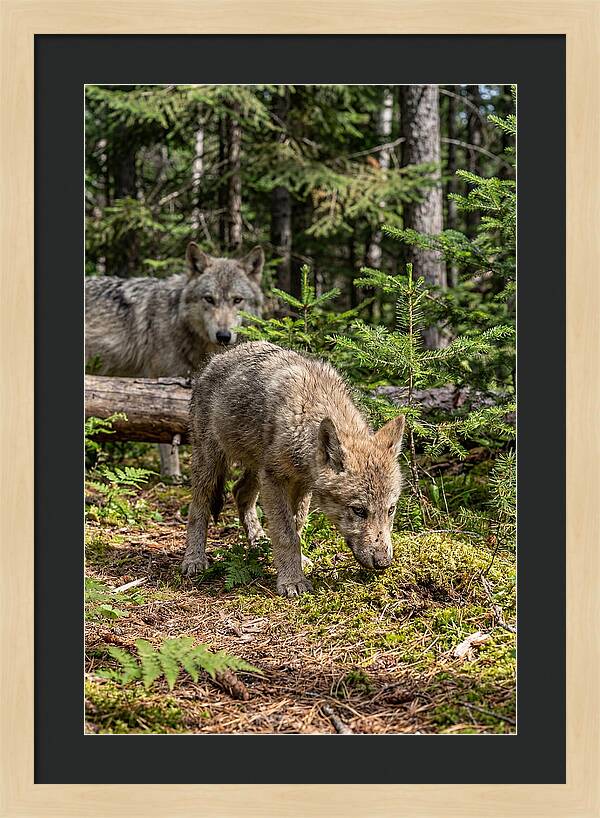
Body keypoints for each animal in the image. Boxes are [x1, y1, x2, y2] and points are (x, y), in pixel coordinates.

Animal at [85, 243, 265, 476]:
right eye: (209, 299)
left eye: (237, 300)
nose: (224, 336)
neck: (177, 321)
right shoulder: (161, 386)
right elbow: (166, 438)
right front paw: (172, 476)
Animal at [182, 341, 405, 597]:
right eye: (359, 510)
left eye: (391, 510)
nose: (383, 562)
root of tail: (215, 359)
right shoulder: (275, 479)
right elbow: (286, 533)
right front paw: (292, 581)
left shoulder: (302, 484)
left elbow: (297, 526)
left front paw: (297, 563)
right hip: (211, 463)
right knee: (198, 507)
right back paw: (194, 559)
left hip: (256, 469)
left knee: (239, 492)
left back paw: (258, 541)